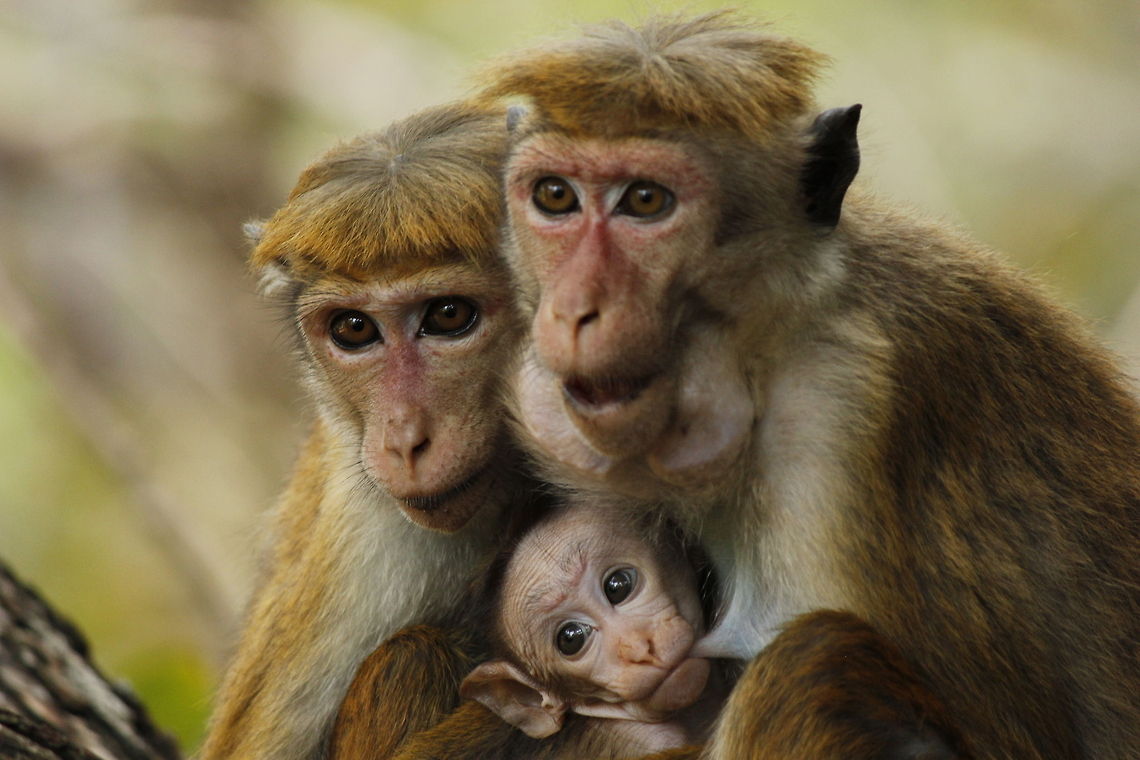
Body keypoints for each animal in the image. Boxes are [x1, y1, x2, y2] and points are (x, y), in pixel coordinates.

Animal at [473, 11, 1140, 759]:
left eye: (644, 201)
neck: (766, 346)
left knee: (811, 656)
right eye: (555, 196)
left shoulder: (831, 419)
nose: (573, 309)